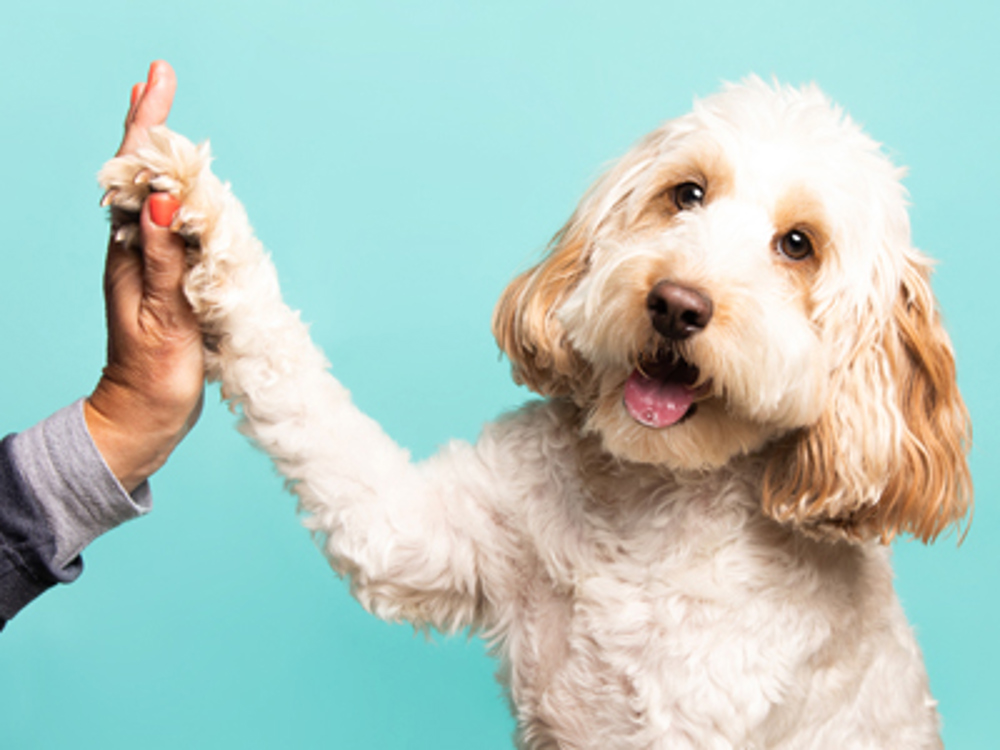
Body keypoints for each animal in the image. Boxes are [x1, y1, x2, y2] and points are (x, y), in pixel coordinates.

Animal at [99, 79, 968, 748]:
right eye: (686, 194)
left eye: (798, 245)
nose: (675, 303)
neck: (655, 498)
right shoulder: (421, 534)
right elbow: (294, 382)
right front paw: (193, 206)